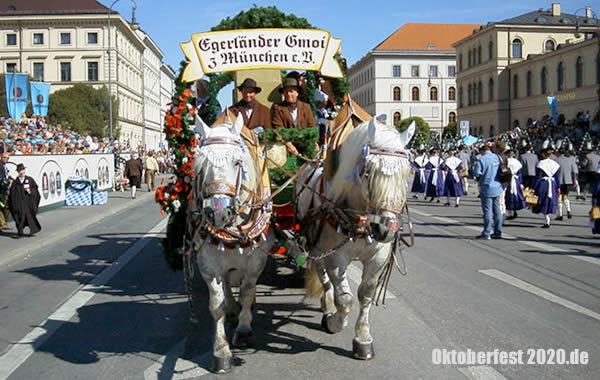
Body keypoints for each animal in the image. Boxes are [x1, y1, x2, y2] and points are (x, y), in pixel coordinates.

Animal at [188, 114, 274, 372]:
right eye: (199, 164)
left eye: (238, 162)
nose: (218, 212)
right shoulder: (207, 262)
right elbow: (217, 304)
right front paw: (221, 351)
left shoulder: (256, 260)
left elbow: (247, 291)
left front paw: (244, 330)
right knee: (226, 284)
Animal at [302, 118, 414, 360]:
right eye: (368, 171)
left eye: (406, 172)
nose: (386, 229)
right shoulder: (336, 257)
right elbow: (345, 299)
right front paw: (334, 322)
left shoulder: (377, 258)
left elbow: (366, 294)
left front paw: (363, 339)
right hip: (317, 247)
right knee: (322, 274)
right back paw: (327, 304)